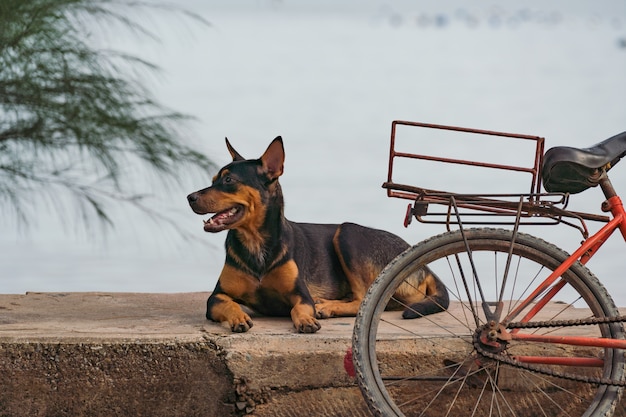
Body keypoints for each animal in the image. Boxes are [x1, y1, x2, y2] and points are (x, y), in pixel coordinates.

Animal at [186, 138, 448, 334]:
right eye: (213, 180)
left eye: (229, 180)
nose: (190, 197)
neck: (255, 242)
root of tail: (425, 267)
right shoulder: (216, 297)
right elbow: (228, 304)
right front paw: (238, 317)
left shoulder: (300, 295)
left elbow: (299, 309)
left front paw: (306, 319)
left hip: (348, 233)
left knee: (362, 298)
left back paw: (326, 307)